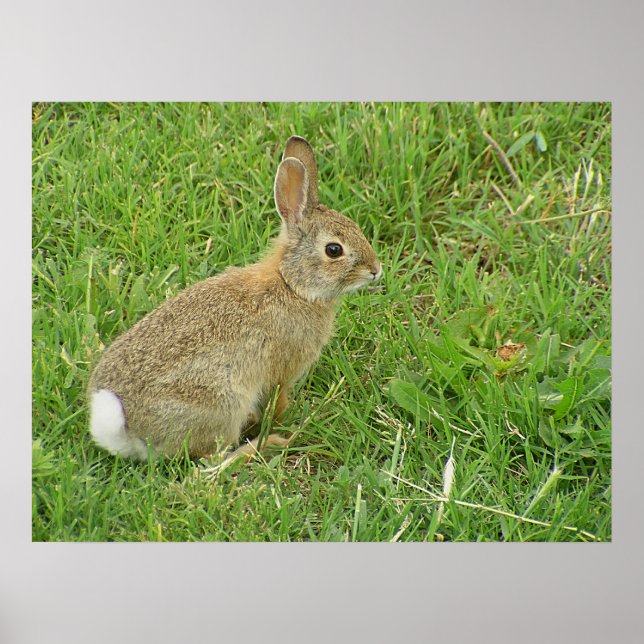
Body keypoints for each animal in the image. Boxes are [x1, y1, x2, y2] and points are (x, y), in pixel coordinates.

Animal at [88, 135, 382, 461]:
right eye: (334, 250)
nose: (375, 270)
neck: (292, 285)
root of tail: (130, 431)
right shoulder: (282, 370)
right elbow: (279, 400)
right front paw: (283, 423)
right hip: (224, 402)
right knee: (212, 462)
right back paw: (266, 445)